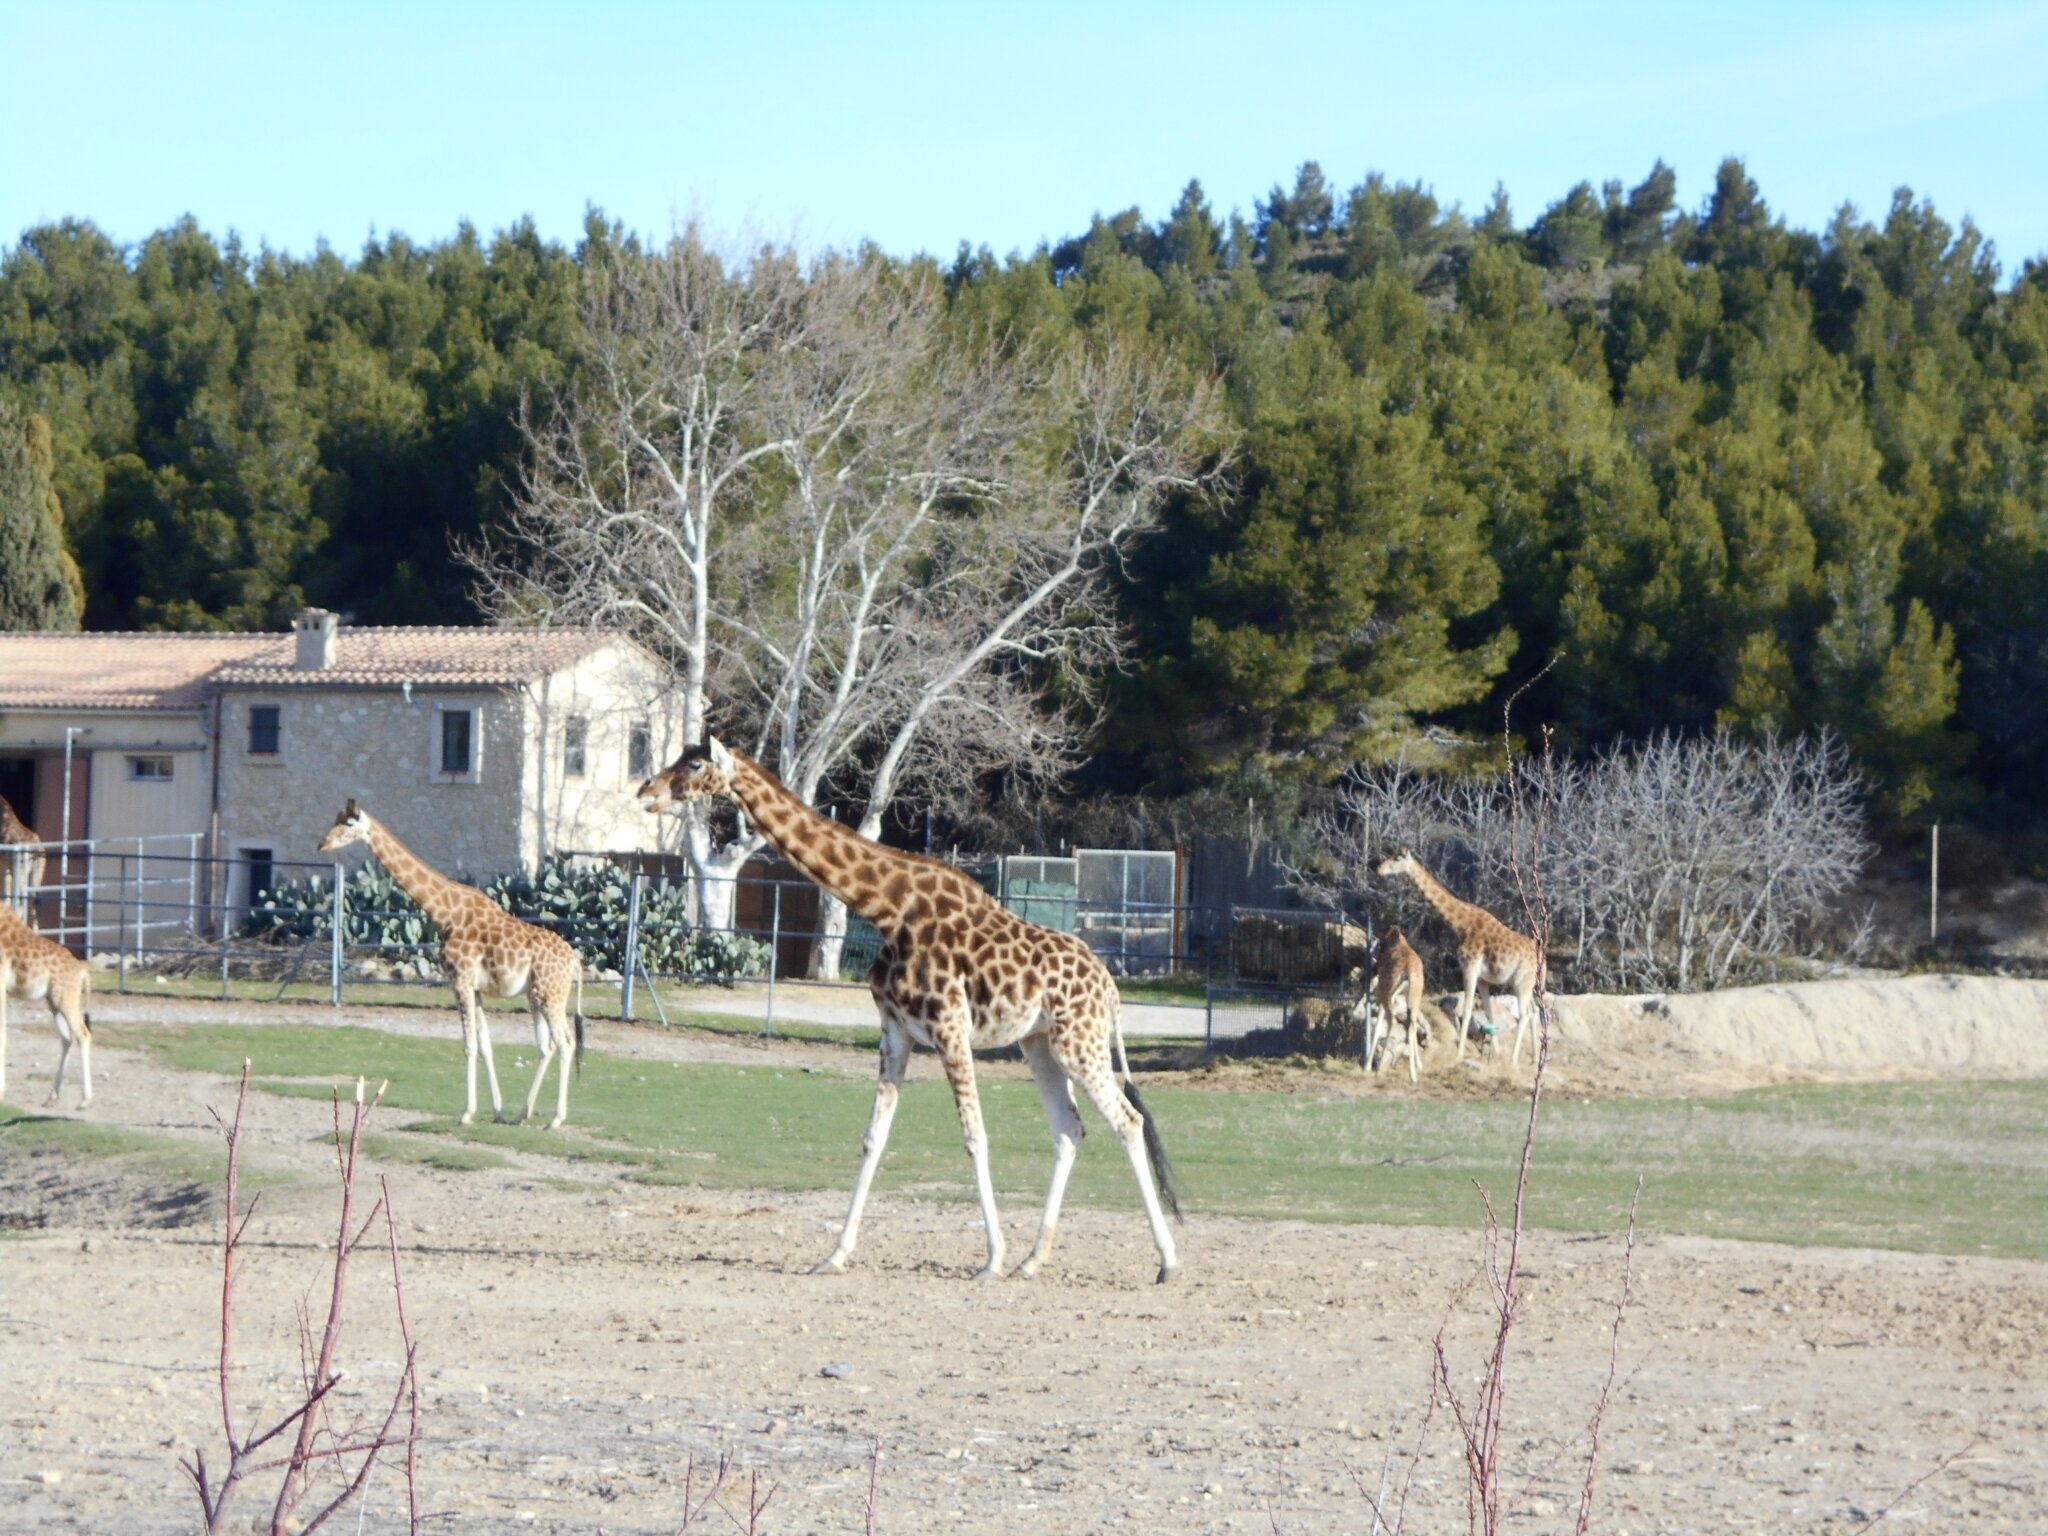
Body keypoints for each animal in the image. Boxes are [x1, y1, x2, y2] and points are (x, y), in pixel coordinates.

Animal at [0, 897, 91, 1114]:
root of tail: (82, 972)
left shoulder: (0, 982)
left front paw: (1, 1094)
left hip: (65, 999)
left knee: (83, 1034)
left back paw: (85, 1101)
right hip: (53, 1002)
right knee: (67, 1038)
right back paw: (52, 1097)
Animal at [315, 806, 585, 1130]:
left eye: (348, 824)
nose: (322, 844)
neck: (444, 913)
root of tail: (574, 962)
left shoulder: (459, 980)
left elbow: (469, 1045)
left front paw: (466, 1113)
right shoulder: (475, 987)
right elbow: (485, 1045)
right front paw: (497, 1111)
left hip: (549, 994)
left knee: (565, 1043)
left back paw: (555, 1119)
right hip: (537, 995)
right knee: (547, 1046)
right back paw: (522, 1114)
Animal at [638, 741, 1187, 1294]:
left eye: (694, 764)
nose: (645, 791)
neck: (887, 909)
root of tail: (1110, 988)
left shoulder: (950, 1028)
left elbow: (974, 1138)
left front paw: (990, 1259)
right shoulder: (895, 1031)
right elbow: (872, 1139)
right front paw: (835, 1254)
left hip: (1080, 1042)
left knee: (1128, 1120)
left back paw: (1167, 1261)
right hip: (1040, 1045)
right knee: (1070, 1129)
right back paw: (1034, 1260)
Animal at [1368, 925, 1433, 1081]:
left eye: (1381, 946)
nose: (1374, 970)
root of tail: (1407, 970)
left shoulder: (1385, 993)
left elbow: (1378, 1026)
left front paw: (1367, 1065)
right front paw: (1419, 1067)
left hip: (1385, 992)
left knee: (1392, 1021)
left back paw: (1379, 1069)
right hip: (1414, 996)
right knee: (1412, 1025)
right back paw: (1413, 1075)